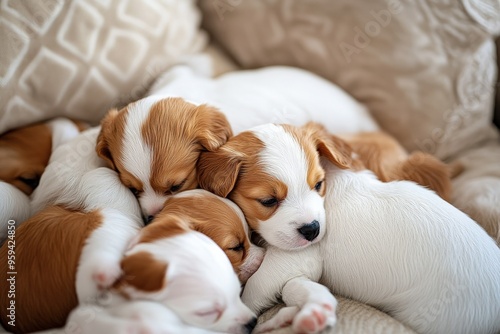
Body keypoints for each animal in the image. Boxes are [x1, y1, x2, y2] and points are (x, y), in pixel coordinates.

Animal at [198, 122, 500, 334]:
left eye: (318, 184)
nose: (312, 230)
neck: (335, 176)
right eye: (268, 201)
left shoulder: (296, 257)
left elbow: (257, 286)